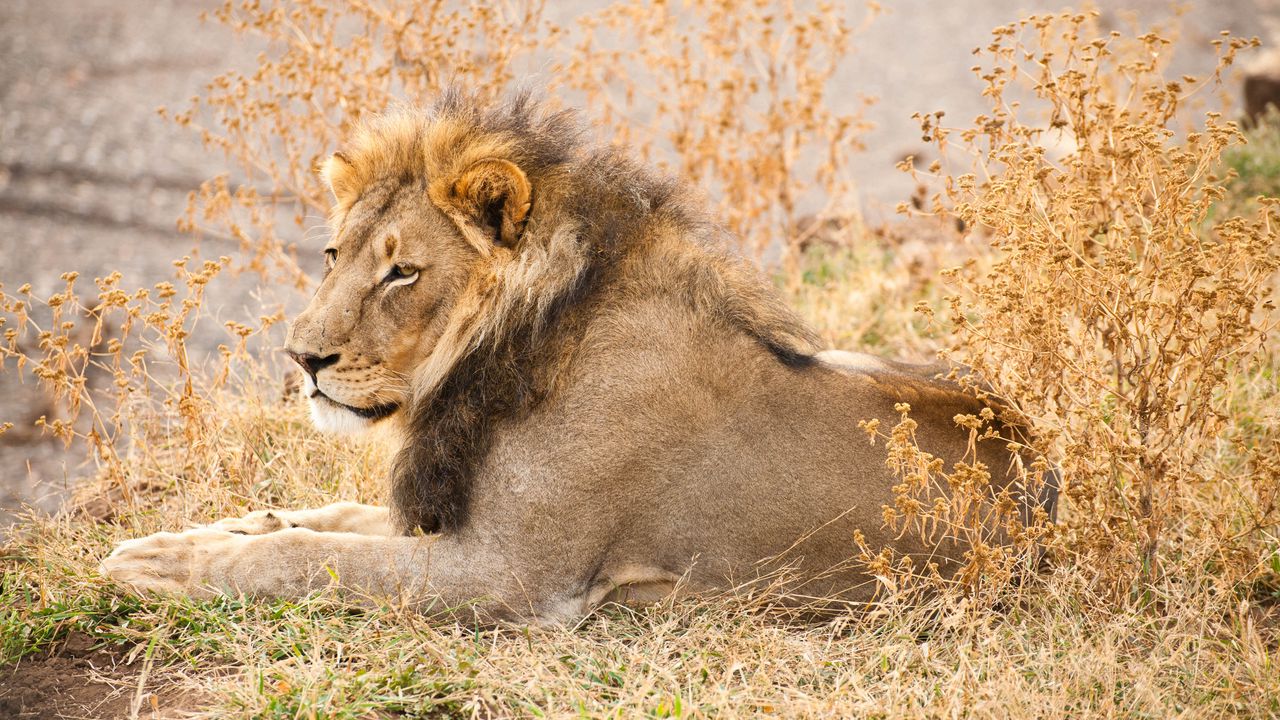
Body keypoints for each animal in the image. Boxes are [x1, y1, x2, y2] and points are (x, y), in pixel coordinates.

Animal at [102, 91, 1057, 624]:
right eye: (334, 255)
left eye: (403, 271)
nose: (302, 359)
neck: (499, 356)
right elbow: (318, 519)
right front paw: (185, 537)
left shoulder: (513, 575)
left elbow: (303, 557)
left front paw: (171, 568)